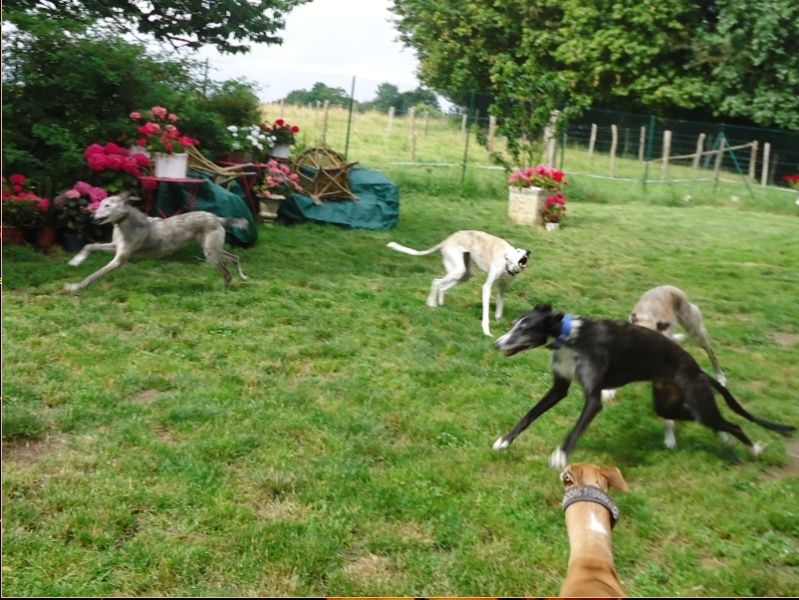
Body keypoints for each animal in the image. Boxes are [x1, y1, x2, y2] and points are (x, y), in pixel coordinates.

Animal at [65, 195, 250, 292]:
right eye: (101, 203)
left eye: (108, 205)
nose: (91, 216)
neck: (125, 222)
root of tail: (217, 218)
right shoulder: (115, 247)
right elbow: (89, 246)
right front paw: (76, 260)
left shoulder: (119, 260)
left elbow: (93, 275)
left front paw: (74, 286)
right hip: (213, 249)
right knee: (235, 257)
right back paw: (243, 277)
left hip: (211, 254)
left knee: (227, 273)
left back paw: (224, 291)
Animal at [388, 229, 532, 336]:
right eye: (518, 251)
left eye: (523, 250)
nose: (529, 251)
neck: (506, 259)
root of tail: (447, 240)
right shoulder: (487, 287)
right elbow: (486, 313)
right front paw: (486, 331)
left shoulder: (502, 288)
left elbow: (499, 307)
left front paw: (499, 321)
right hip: (457, 269)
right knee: (436, 282)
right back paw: (431, 304)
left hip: (463, 274)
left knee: (442, 287)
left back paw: (439, 304)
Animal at [494, 304, 792, 468]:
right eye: (513, 325)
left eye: (524, 329)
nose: (496, 344)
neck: (569, 338)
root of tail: (699, 370)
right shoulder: (559, 388)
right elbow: (530, 415)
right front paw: (504, 440)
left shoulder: (594, 399)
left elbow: (575, 430)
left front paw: (560, 456)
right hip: (669, 405)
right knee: (718, 422)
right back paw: (726, 439)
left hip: (697, 403)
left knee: (735, 424)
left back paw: (754, 449)